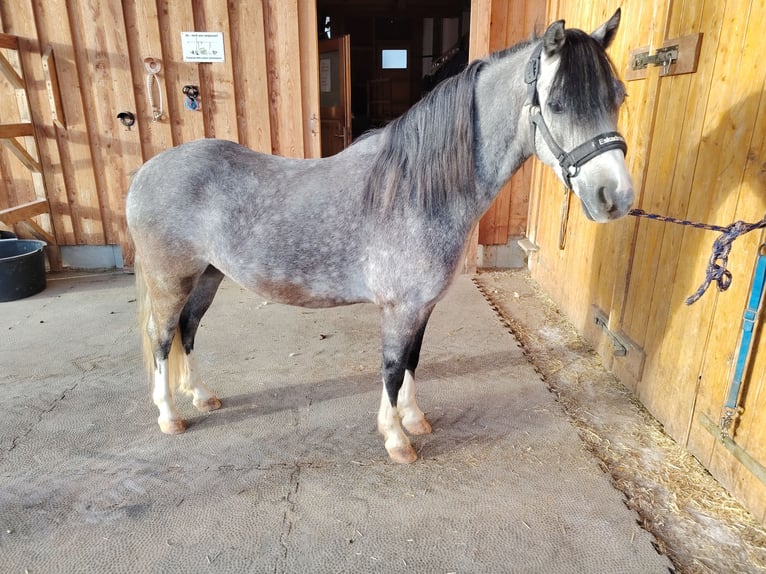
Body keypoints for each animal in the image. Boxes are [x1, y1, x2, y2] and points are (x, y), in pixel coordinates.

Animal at [126, 9, 633, 464]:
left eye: (619, 96)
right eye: (557, 103)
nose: (617, 196)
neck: (417, 190)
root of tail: (144, 173)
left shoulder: (421, 307)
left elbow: (412, 361)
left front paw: (414, 419)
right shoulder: (399, 308)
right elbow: (391, 368)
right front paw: (396, 440)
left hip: (208, 276)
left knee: (188, 330)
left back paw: (201, 395)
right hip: (171, 281)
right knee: (162, 337)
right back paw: (170, 416)